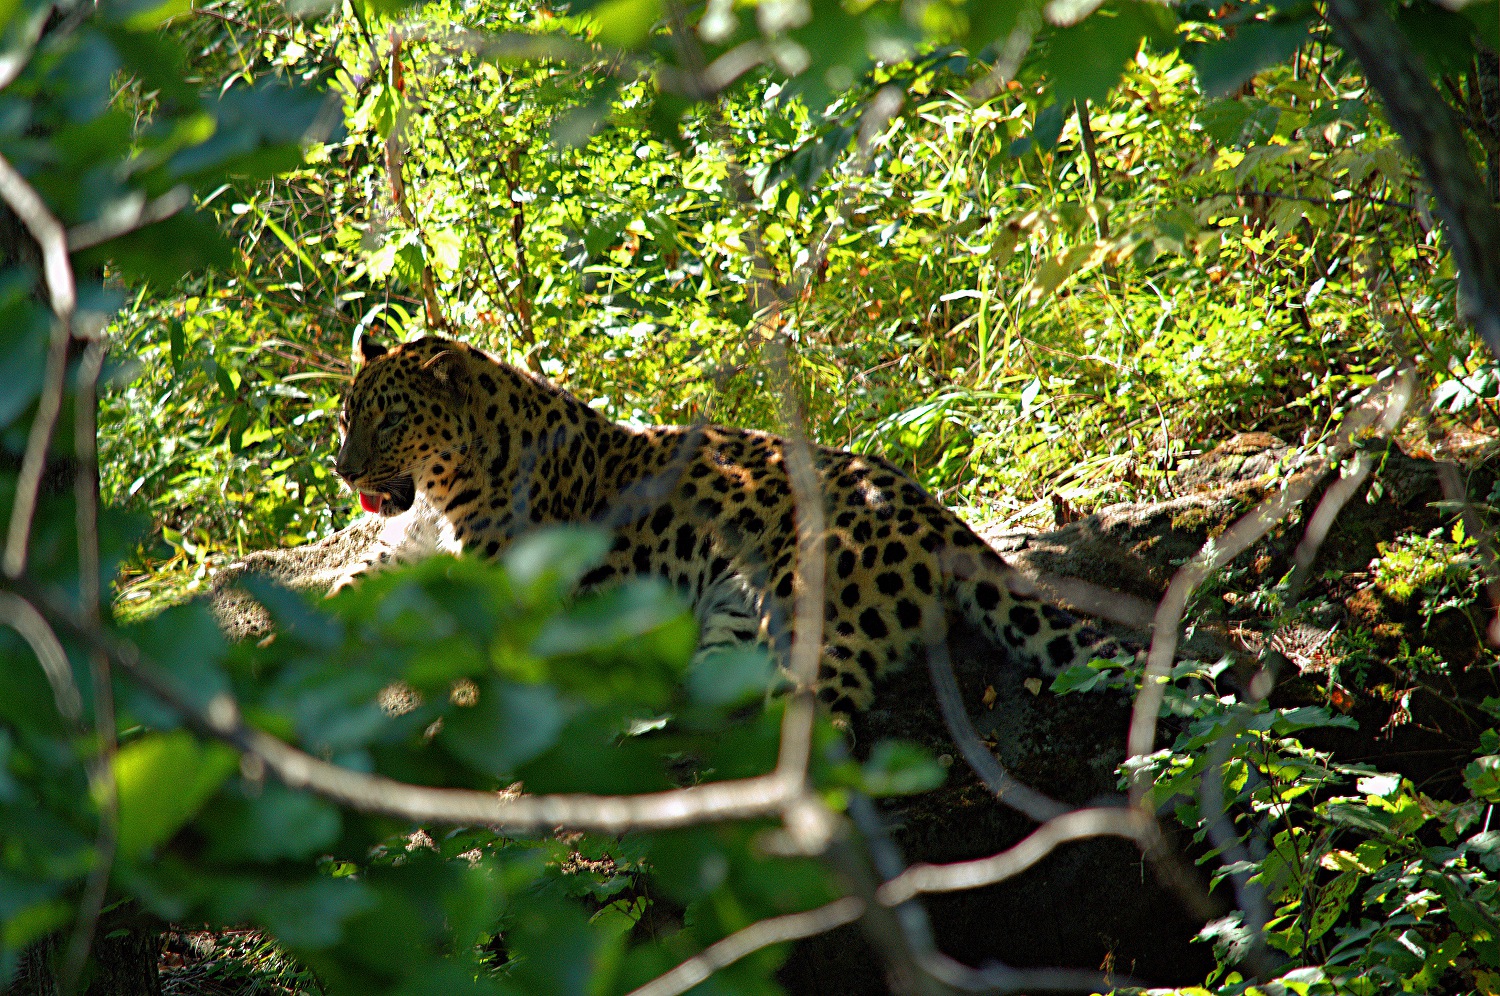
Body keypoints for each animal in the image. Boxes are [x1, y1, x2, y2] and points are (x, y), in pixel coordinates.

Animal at [334, 333, 1122, 708]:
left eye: (392, 420)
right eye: (347, 416)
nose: (343, 470)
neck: (438, 490)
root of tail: (932, 509)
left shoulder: (501, 586)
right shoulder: (398, 551)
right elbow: (347, 588)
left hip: (813, 608)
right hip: (731, 619)